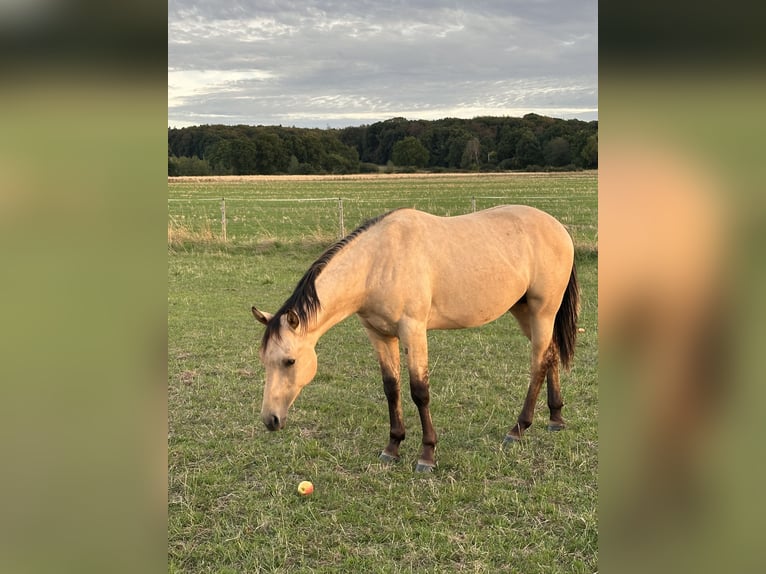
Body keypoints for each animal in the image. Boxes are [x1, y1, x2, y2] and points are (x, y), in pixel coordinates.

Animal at [252, 205, 579, 472]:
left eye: (290, 361)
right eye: (264, 361)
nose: (270, 420)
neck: (378, 263)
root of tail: (559, 228)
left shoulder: (414, 331)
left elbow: (419, 391)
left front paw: (427, 455)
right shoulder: (380, 335)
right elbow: (391, 388)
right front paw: (392, 447)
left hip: (542, 312)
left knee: (538, 363)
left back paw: (518, 428)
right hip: (524, 311)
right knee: (550, 353)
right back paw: (555, 418)